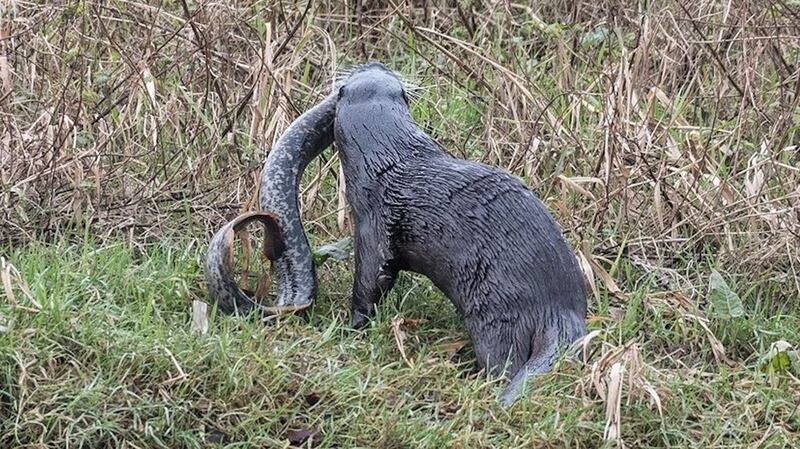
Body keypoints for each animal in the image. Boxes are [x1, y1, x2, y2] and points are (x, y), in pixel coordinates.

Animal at [334, 62, 587, 406]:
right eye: (377, 69)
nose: (375, 63)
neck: (390, 163)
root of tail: (561, 310)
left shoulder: (372, 224)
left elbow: (371, 281)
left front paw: (353, 327)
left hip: (497, 313)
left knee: (504, 360)